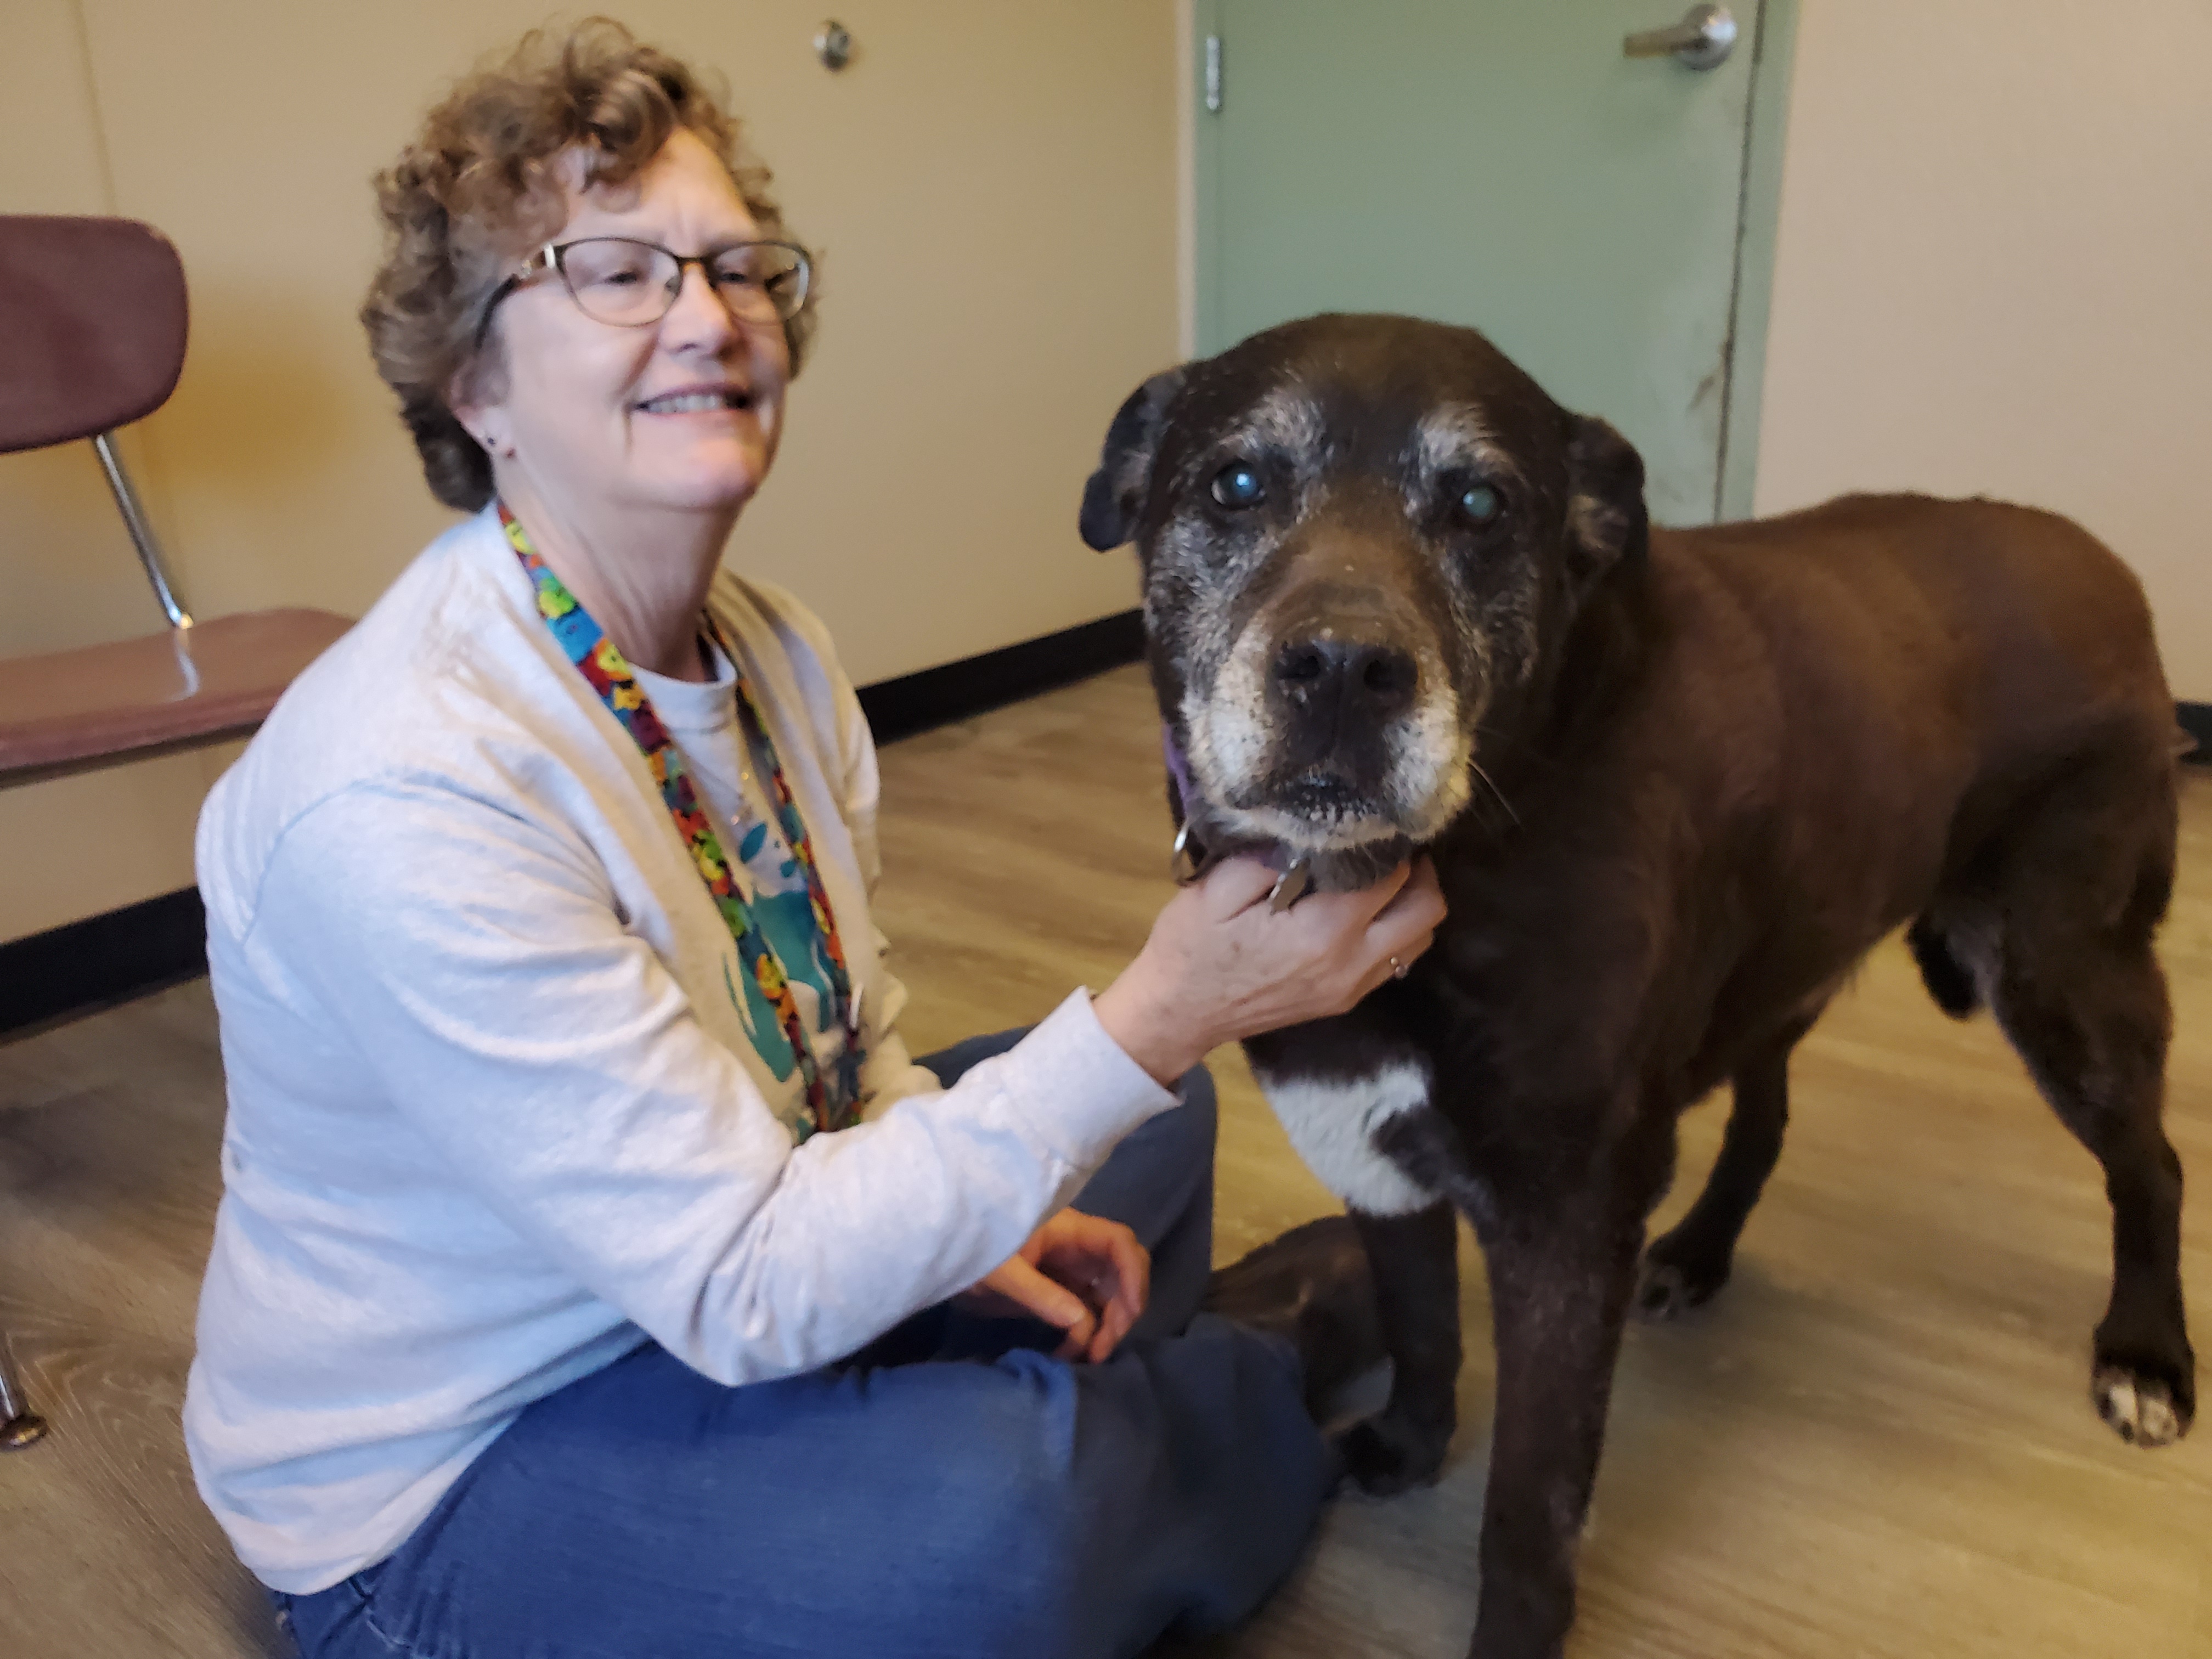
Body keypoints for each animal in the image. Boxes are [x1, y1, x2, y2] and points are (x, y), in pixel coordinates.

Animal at [1075, 314, 2194, 1659]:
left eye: (1483, 504)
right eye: (1234, 483)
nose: (1343, 669)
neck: (1473, 833)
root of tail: (2108, 564)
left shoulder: (1565, 1225)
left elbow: (1528, 1507)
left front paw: (1512, 1633)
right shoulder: (1369, 1152)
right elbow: (1424, 1330)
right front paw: (1407, 1447)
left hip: (2057, 969)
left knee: (2151, 1163)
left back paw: (2146, 1356)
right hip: (1784, 954)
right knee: (1765, 1116)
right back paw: (1700, 1253)